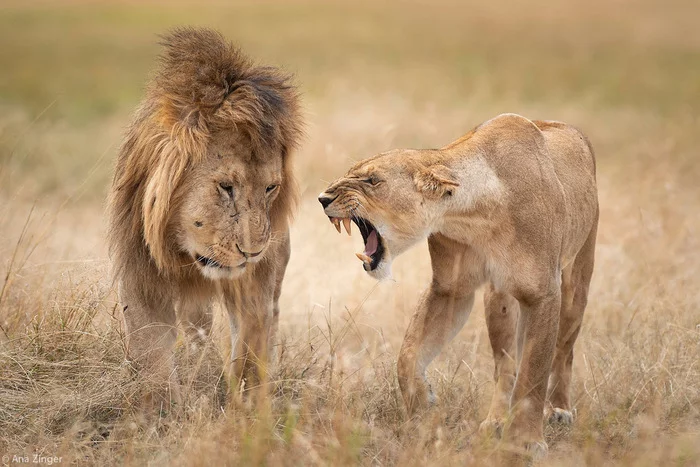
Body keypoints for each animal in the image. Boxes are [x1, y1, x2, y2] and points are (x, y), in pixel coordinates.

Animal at [106, 28, 300, 406]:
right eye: (226, 187)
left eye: (271, 188)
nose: (253, 252)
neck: (182, 250)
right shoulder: (139, 270)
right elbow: (150, 349)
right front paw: (160, 409)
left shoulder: (254, 282)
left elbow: (251, 345)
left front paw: (248, 404)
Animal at [318, 114, 596, 454]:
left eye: (372, 180)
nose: (323, 199)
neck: (473, 215)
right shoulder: (451, 289)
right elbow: (408, 355)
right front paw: (423, 406)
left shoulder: (543, 294)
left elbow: (534, 375)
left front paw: (527, 442)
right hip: (498, 299)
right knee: (505, 365)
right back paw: (496, 420)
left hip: (577, 280)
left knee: (563, 351)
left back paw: (559, 410)